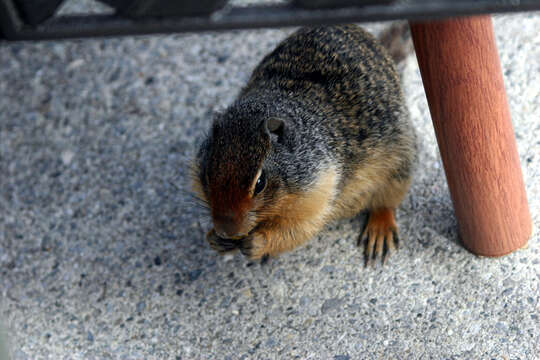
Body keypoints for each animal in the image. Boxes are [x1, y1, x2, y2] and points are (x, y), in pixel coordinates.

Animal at [192, 22, 416, 264]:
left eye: (260, 183)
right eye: (207, 175)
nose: (226, 230)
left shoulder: (319, 191)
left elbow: (298, 230)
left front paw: (258, 243)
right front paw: (214, 239)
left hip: (399, 163)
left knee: (387, 201)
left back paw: (379, 229)